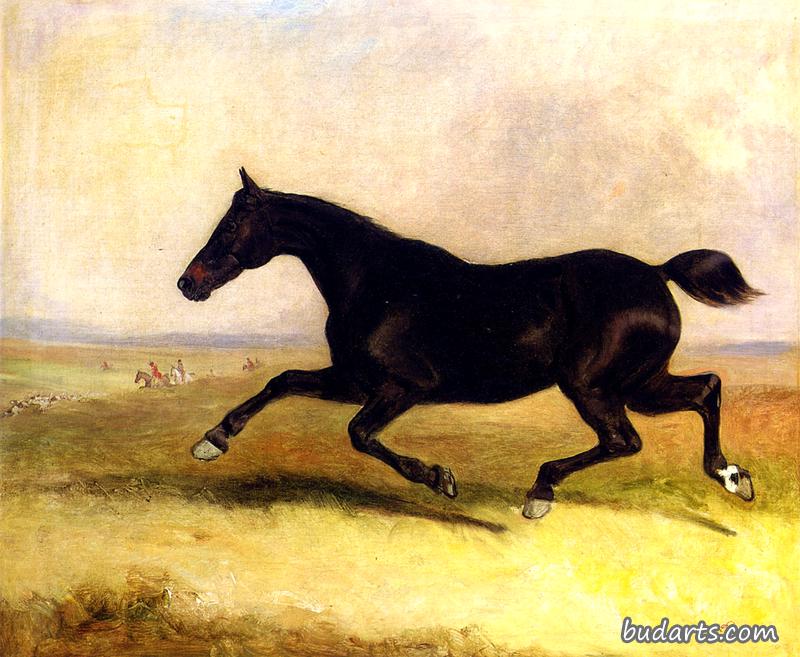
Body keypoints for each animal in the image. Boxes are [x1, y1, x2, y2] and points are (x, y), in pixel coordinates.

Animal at [178, 168, 761, 519]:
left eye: (230, 226)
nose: (188, 283)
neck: (373, 280)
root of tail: (657, 273)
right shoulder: (353, 380)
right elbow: (282, 382)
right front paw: (214, 439)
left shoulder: (401, 387)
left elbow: (360, 434)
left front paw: (440, 479)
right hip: (639, 384)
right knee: (704, 389)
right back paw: (731, 476)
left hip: (592, 387)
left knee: (625, 440)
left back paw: (540, 493)